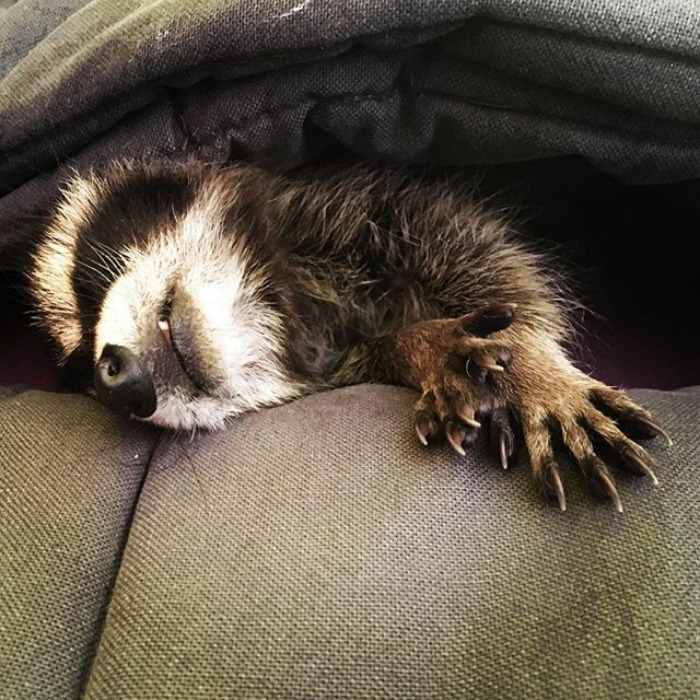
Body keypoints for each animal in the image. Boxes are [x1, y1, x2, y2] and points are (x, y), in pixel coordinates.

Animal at [30, 160, 667, 511]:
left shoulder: (381, 211)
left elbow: (501, 269)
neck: (277, 305)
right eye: (82, 373)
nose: (114, 382)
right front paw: (422, 345)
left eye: (91, 281)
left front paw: (537, 369)